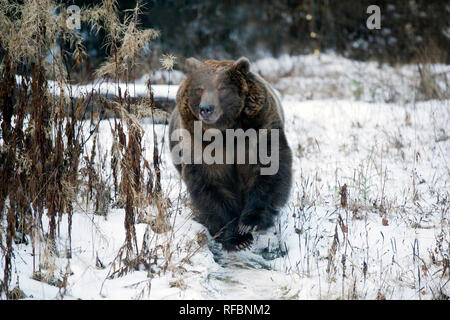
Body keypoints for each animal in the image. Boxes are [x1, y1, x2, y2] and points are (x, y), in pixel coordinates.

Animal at [169, 57, 292, 252]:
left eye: (223, 88)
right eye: (199, 88)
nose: (206, 108)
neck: (227, 132)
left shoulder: (259, 131)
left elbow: (268, 170)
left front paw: (251, 222)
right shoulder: (201, 148)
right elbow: (211, 188)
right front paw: (237, 238)